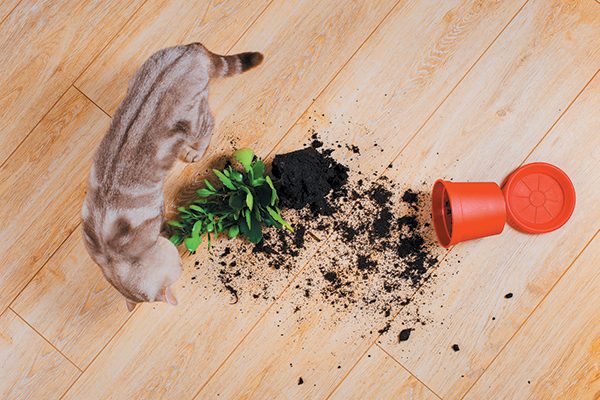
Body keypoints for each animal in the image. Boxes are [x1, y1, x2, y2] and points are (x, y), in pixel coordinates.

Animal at [81, 44, 262, 312]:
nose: (182, 266)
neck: (112, 256)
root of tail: (194, 50)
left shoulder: (156, 211)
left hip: (194, 120)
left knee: (209, 124)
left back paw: (194, 151)